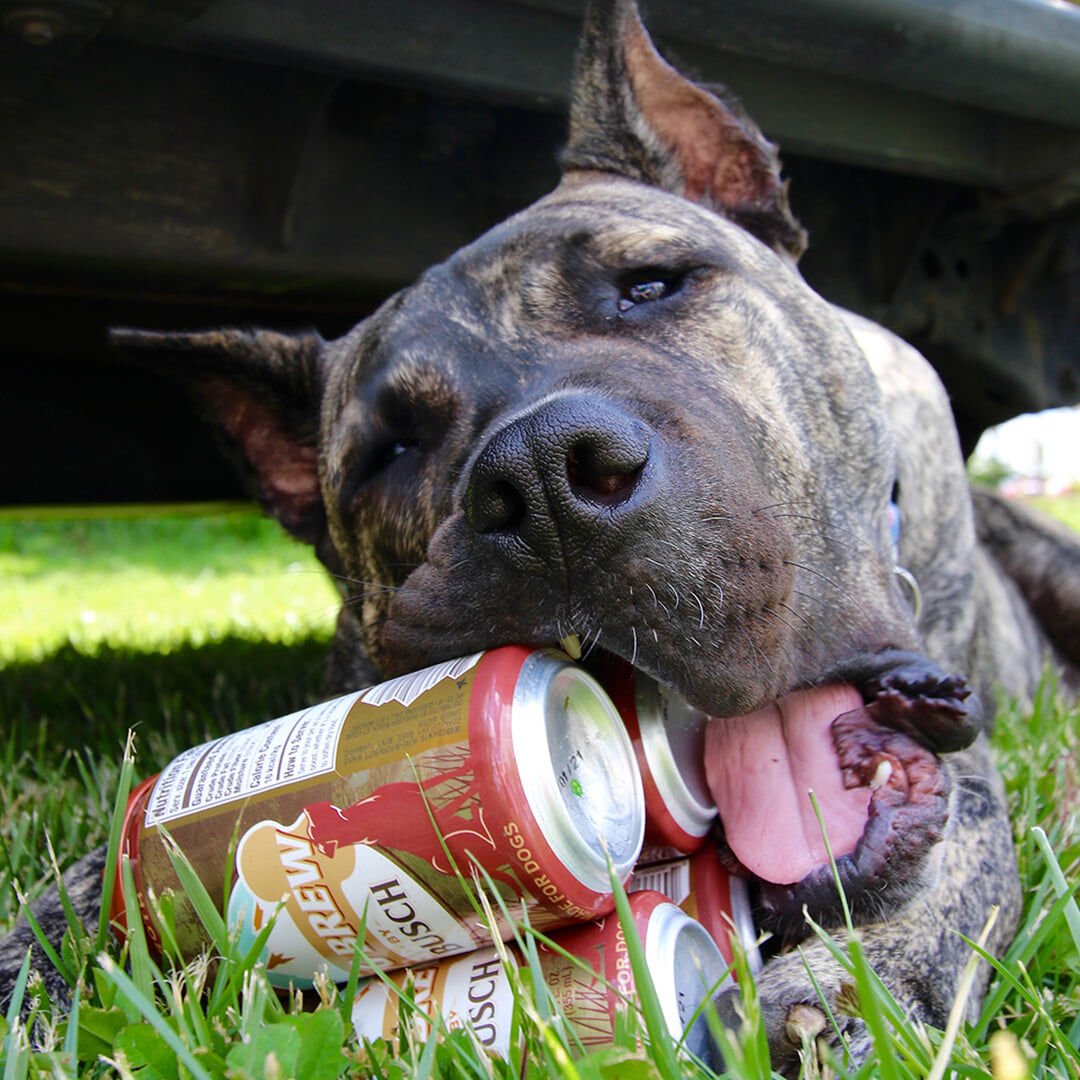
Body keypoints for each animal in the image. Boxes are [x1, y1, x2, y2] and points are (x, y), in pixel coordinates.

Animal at [2, 0, 1080, 1067]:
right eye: (387, 450)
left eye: (652, 285)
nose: (541, 476)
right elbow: (114, 861)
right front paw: (40, 953)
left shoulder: (959, 749)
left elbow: (964, 850)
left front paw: (844, 994)